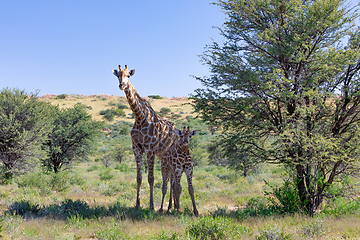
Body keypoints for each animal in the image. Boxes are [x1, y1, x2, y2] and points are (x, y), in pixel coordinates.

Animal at [112, 64, 179, 209]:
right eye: (118, 75)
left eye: (128, 75)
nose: (122, 85)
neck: (139, 118)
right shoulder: (136, 148)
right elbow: (139, 178)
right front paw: (137, 204)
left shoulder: (150, 149)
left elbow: (151, 178)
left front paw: (151, 206)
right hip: (163, 155)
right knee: (170, 177)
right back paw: (171, 205)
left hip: (171, 154)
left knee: (172, 178)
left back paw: (171, 206)